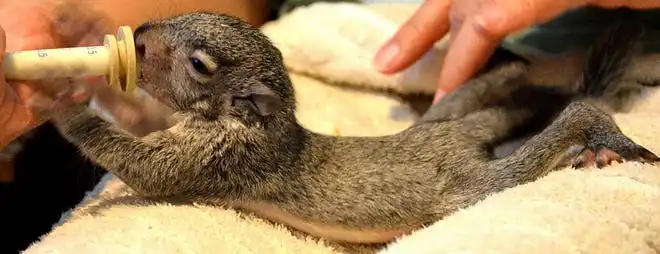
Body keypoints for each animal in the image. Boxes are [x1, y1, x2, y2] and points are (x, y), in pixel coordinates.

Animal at [42, 11, 660, 244]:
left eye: (198, 63)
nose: (141, 35)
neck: (264, 124)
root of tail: (453, 138)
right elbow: (141, 123)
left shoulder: (223, 158)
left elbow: (147, 166)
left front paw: (61, 103)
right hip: (455, 118)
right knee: (509, 92)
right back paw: (521, 77)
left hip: (467, 188)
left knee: (559, 128)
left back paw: (605, 140)